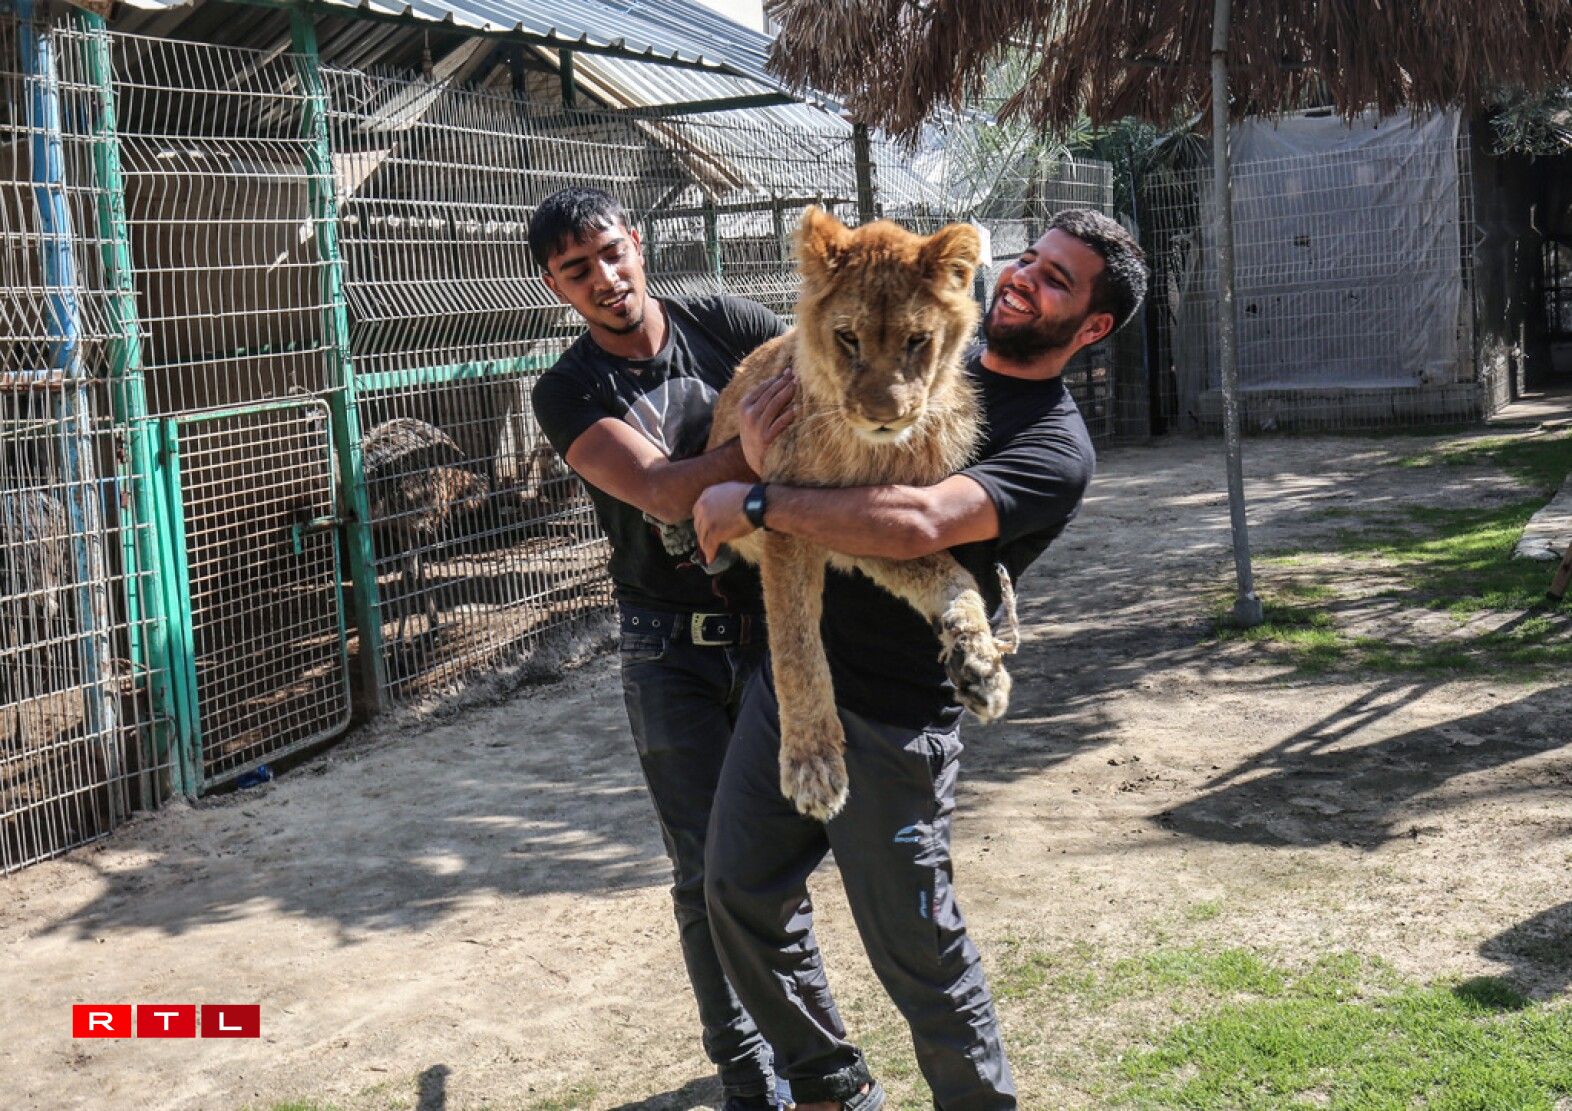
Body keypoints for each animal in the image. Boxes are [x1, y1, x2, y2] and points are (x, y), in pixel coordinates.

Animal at [707, 207, 1012, 822]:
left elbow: (956, 577)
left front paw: (979, 662)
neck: (871, 452)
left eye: (918, 341)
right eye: (848, 337)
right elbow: (797, 649)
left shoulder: (879, 525)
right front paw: (811, 766)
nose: (883, 416)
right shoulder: (788, 525)